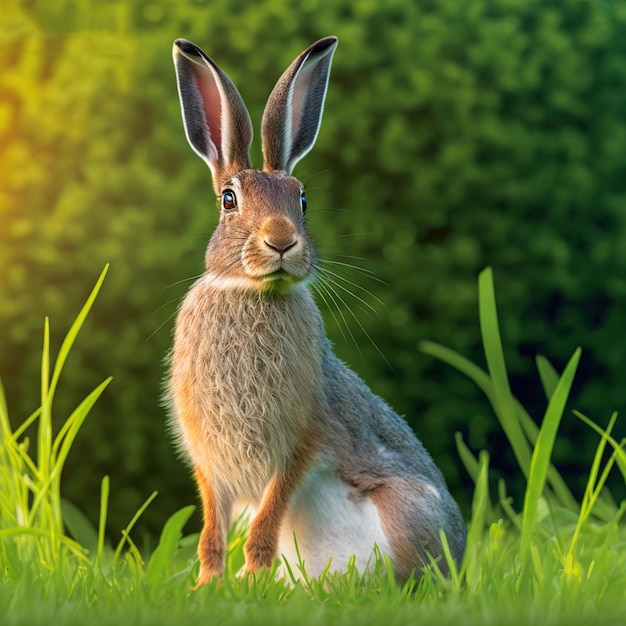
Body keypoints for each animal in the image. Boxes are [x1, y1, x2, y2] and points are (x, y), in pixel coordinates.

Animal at [166, 35, 464, 584]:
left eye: (302, 200)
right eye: (228, 200)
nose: (282, 241)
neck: (253, 293)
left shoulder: (303, 439)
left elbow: (264, 522)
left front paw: (248, 584)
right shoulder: (209, 463)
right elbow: (212, 532)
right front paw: (208, 586)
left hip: (407, 510)